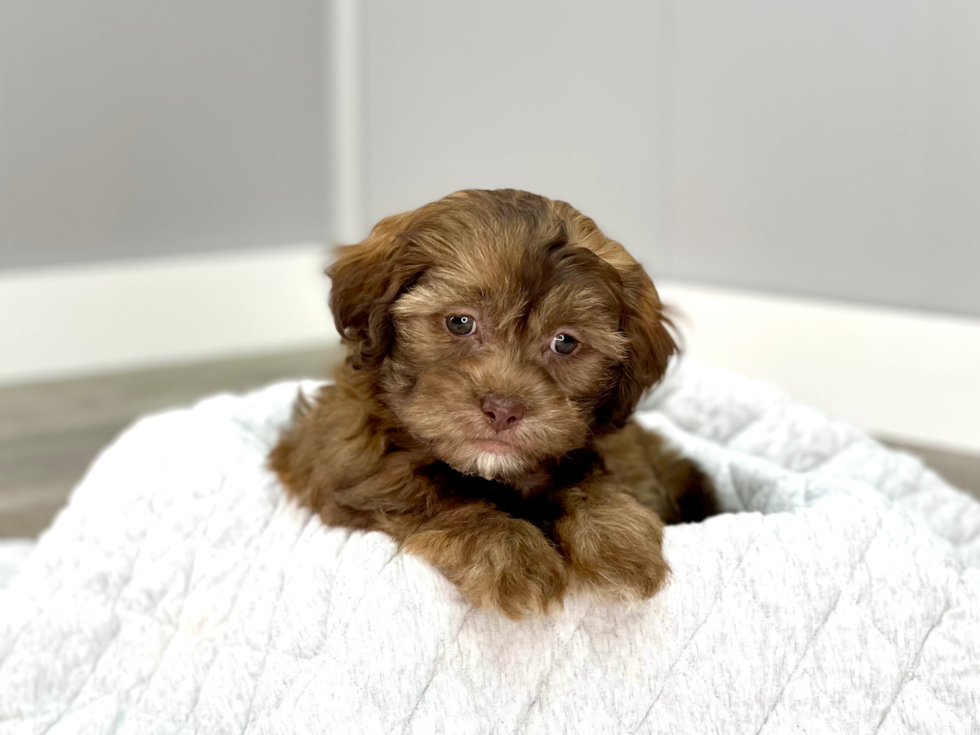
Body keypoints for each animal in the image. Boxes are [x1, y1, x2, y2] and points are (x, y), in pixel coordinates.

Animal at [268, 187, 712, 620]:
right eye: (460, 322)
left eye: (564, 342)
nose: (503, 409)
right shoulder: (349, 465)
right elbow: (430, 497)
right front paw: (512, 554)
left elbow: (591, 481)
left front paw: (618, 540)